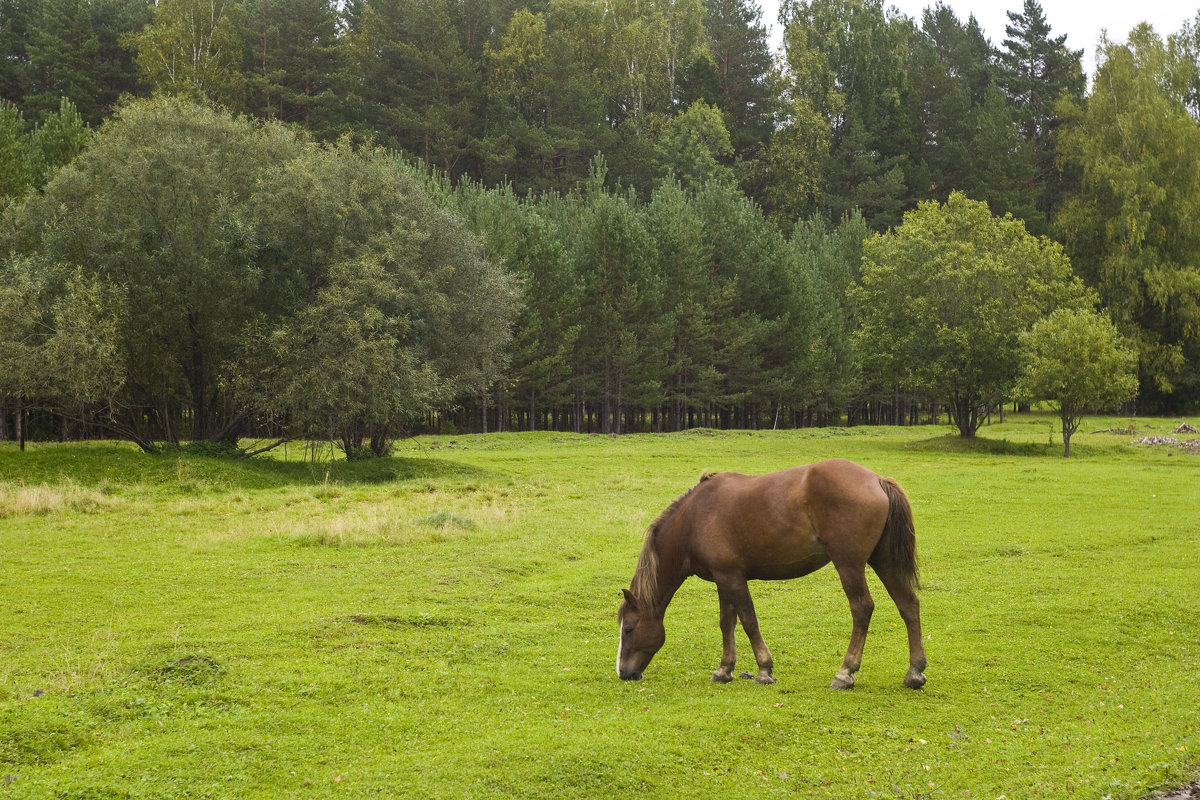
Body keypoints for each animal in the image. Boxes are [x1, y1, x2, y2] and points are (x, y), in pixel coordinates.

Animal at [619, 460, 926, 690]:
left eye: (629, 629)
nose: (623, 672)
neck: (695, 517)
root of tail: (877, 479)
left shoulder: (732, 578)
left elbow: (748, 621)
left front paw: (764, 670)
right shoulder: (722, 578)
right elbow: (726, 622)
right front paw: (724, 669)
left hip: (849, 565)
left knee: (862, 608)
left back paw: (845, 673)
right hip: (884, 561)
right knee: (908, 604)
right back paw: (914, 672)